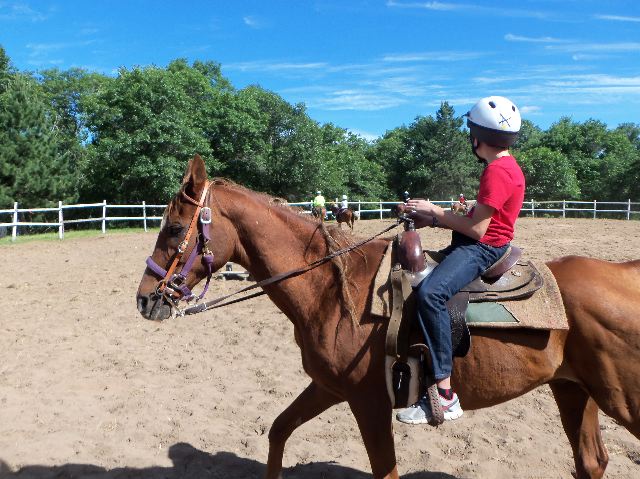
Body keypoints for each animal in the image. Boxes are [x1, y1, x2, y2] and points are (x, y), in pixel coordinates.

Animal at [137, 155, 640, 479]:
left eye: (175, 228)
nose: (144, 299)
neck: (333, 291)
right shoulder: (328, 388)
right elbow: (278, 431)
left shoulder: (369, 403)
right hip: (574, 390)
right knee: (591, 462)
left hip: (619, 399)